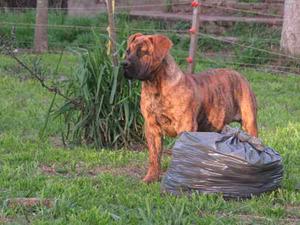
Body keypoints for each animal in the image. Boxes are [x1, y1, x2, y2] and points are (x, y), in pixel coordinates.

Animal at [122, 33, 258, 183]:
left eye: (143, 52)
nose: (124, 64)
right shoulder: (152, 127)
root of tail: (239, 74)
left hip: (249, 121)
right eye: (128, 51)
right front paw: (151, 178)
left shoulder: (185, 125)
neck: (155, 86)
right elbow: (154, 156)